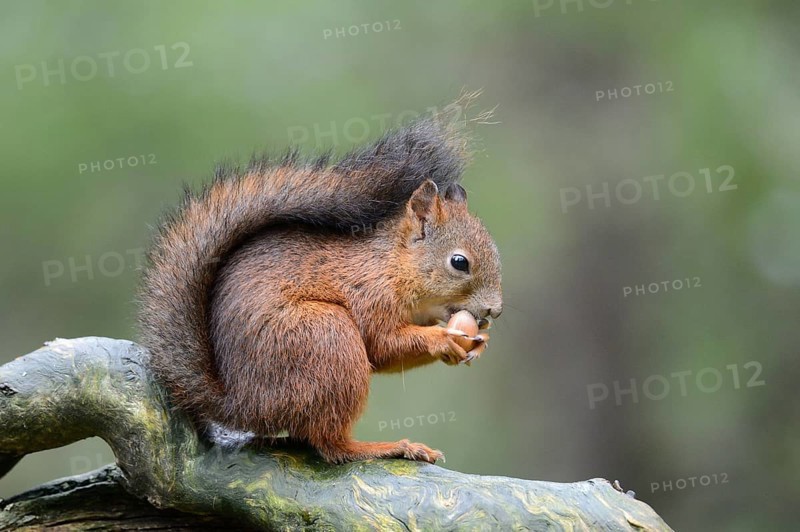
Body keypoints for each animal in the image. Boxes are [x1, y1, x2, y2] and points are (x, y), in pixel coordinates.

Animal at [138, 114, 503, 464]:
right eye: (459, 262)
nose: (494, 311)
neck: (392, 266)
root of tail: (240, 403)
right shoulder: (368, 294)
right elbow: (383, 343)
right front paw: (442, 338)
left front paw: (478, 344)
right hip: (326, 337)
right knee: (330, 444)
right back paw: (387, 447)